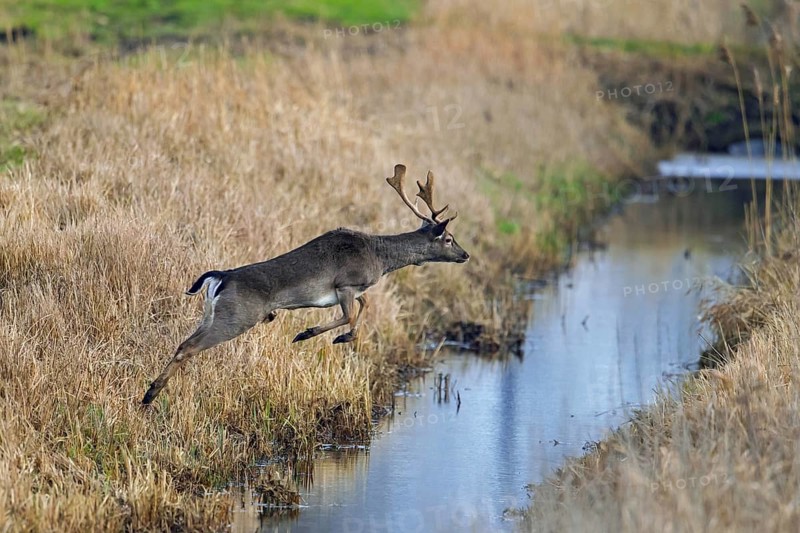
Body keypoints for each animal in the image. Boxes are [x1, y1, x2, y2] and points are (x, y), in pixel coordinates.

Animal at [141, 164, 469, 405]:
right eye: (449, 239)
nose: (465, 255)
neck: (380, 257)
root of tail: (220, 276)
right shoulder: (345, 283)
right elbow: (350, 313)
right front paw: (308, 334)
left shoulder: (355, 289)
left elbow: (364, 305)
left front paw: (341, 337)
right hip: (237, 316)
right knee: (189, 346)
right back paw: (150, 394)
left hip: (211, 314)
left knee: (184, 341)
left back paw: (150, 392)